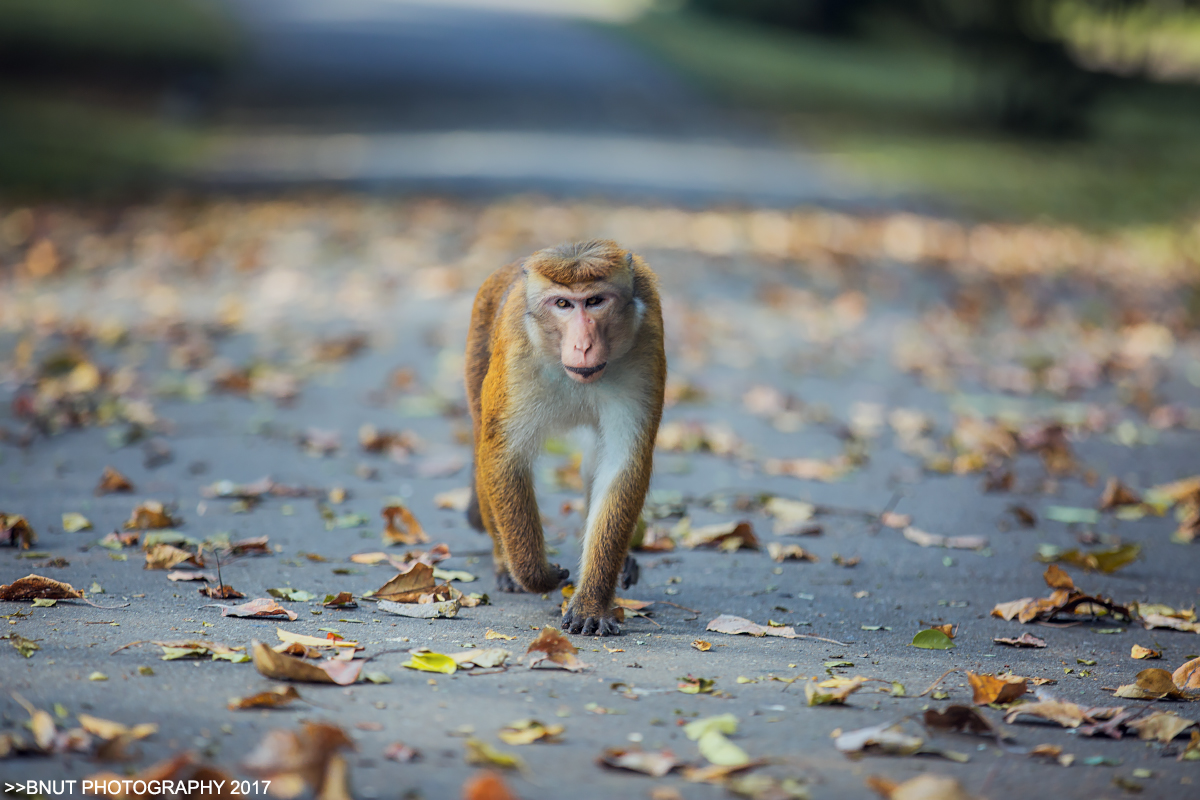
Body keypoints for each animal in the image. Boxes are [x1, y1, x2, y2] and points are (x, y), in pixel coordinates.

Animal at [463, 241, 667, 633]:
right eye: (562, 304)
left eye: (595, 301)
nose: (583, 345)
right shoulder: (516, 351)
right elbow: (503, 454)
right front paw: (535, 574)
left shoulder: (647, 344)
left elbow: (621, 463)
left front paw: (591, 602)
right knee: (483, 437)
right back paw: (504, 563)